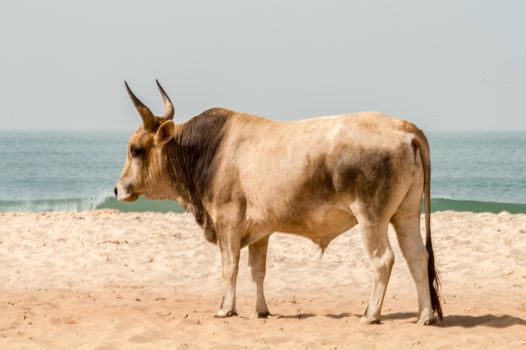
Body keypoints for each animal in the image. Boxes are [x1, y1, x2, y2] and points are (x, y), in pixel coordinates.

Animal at [115, 80, 446, 324]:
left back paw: (370, 315)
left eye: (135, 149)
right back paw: (425, 315)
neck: (209, 149)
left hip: (371, 217)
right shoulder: (260, 231)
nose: (118, 189)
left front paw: (226, 309)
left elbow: (229, 267)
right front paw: (261, 310)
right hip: (405, 215)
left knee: (383, 260)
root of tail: (405, 128)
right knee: (418, 257)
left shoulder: (227, 221)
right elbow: (257, 271)